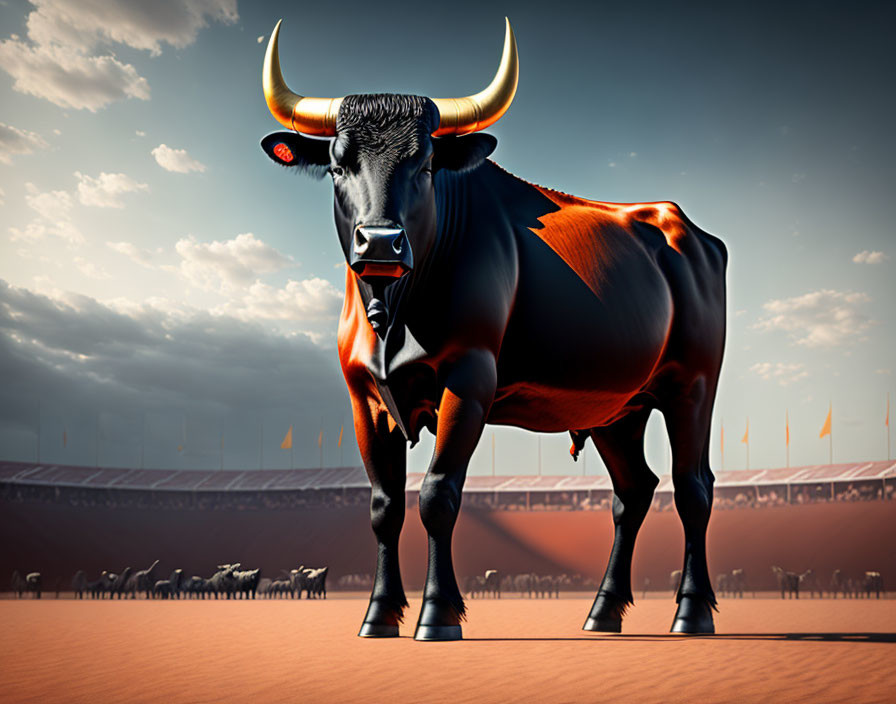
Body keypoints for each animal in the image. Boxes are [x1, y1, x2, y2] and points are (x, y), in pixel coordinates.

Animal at [260, 19, 728, 640]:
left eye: (426, 165)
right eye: (338, 165)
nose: (380, 243)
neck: (394, 313)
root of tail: (688, 230)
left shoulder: (469, 379)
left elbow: (438, 494)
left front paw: (438, 614)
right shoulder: (364, 396)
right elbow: (385, 505)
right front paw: (379, 614)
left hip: (692, 386)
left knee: (693, 487)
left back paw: (691, 611)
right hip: (616, 408)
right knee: (633, 491)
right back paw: (603, 611)